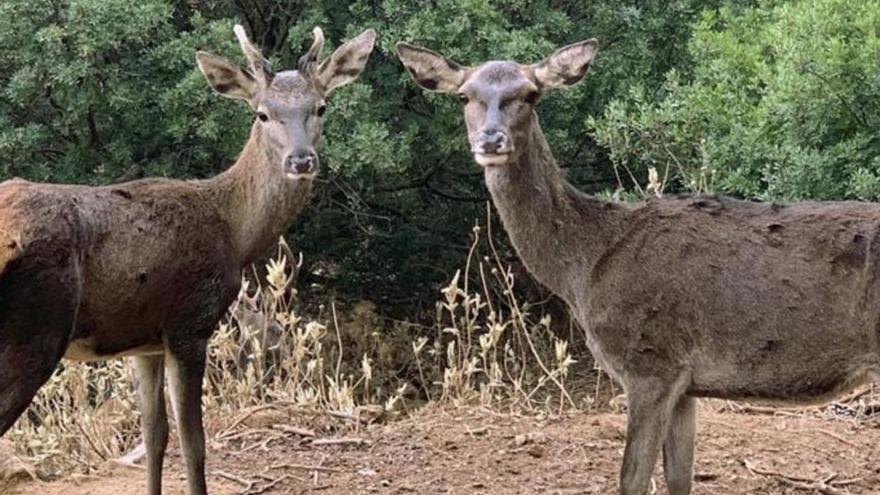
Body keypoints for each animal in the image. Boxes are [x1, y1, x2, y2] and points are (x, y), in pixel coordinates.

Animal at [0, 24, 374, 495]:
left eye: (320, 106)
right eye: (262, 114)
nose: (301, 160)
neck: (234, 231)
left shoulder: (144, 342)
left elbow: (154, 434)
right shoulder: (190, 322)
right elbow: (194, 441)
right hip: (34, 330)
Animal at [398, 36, 880, 494]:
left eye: (531, 94)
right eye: (464, 95)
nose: (491, 140)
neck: (585, 266)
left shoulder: (650, 361)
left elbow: (631, 478)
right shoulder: (685, 382)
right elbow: (678, 478)